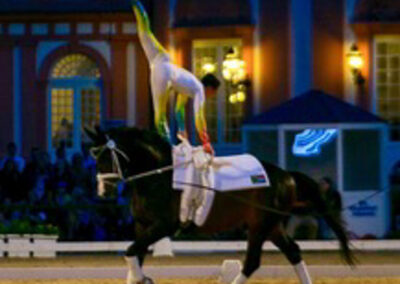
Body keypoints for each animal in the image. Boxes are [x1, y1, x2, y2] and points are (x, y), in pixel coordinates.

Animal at [86, 127, 354, 284]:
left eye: (107, 157)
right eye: (95, 157)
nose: (103, 191)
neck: (158, 176)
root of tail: (287, 176)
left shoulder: (164, 226)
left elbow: (131, 251)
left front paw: (144, 279)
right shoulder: (143, 226)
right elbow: (135, 256)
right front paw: (139, 278)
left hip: (259, 226)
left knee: (252, 262)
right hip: (272, 226)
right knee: (293, 252)